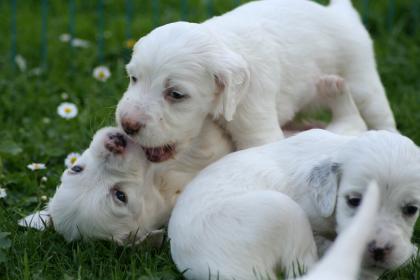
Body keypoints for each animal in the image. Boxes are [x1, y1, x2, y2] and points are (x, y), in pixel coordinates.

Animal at [116, 0, 396, 162]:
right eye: (133, 78)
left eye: (176, 94)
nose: (127, 124)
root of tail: (338, 12)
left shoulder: (256, 126)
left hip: (362, 80)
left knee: (381, 116)